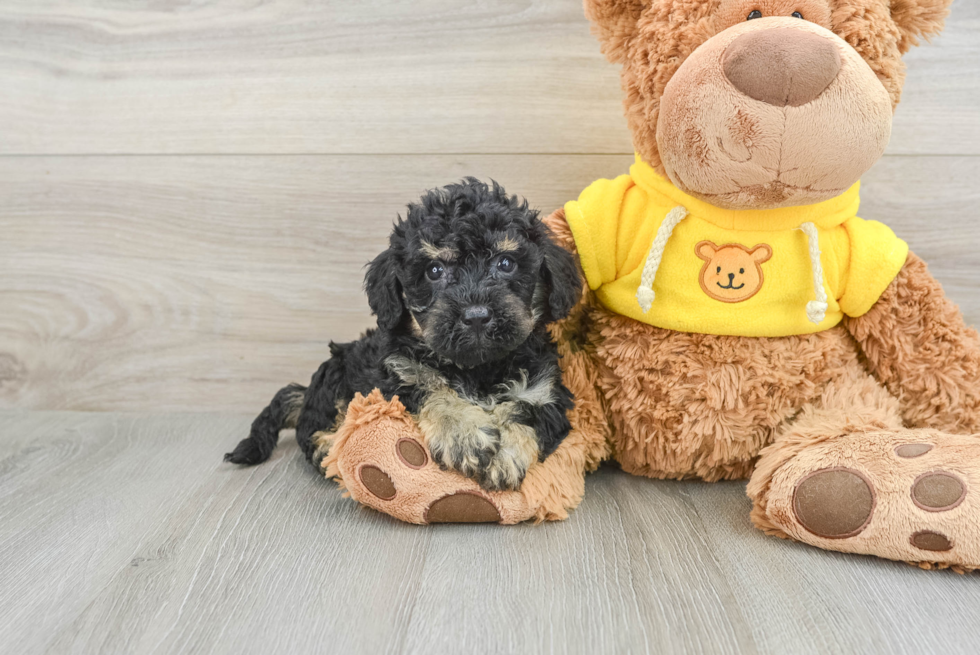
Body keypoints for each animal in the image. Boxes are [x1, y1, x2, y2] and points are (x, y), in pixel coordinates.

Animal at [226, 179, 580, 492]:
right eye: (434, 271)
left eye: (506, 263)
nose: (476, 316)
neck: (477, 370)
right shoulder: (398, 375)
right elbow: (433, 390)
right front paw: (467, 436)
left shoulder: (546, 391)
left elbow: (526, 412)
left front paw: (504, 453)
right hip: (335, 374)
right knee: (311, 429)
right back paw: (329, 446)